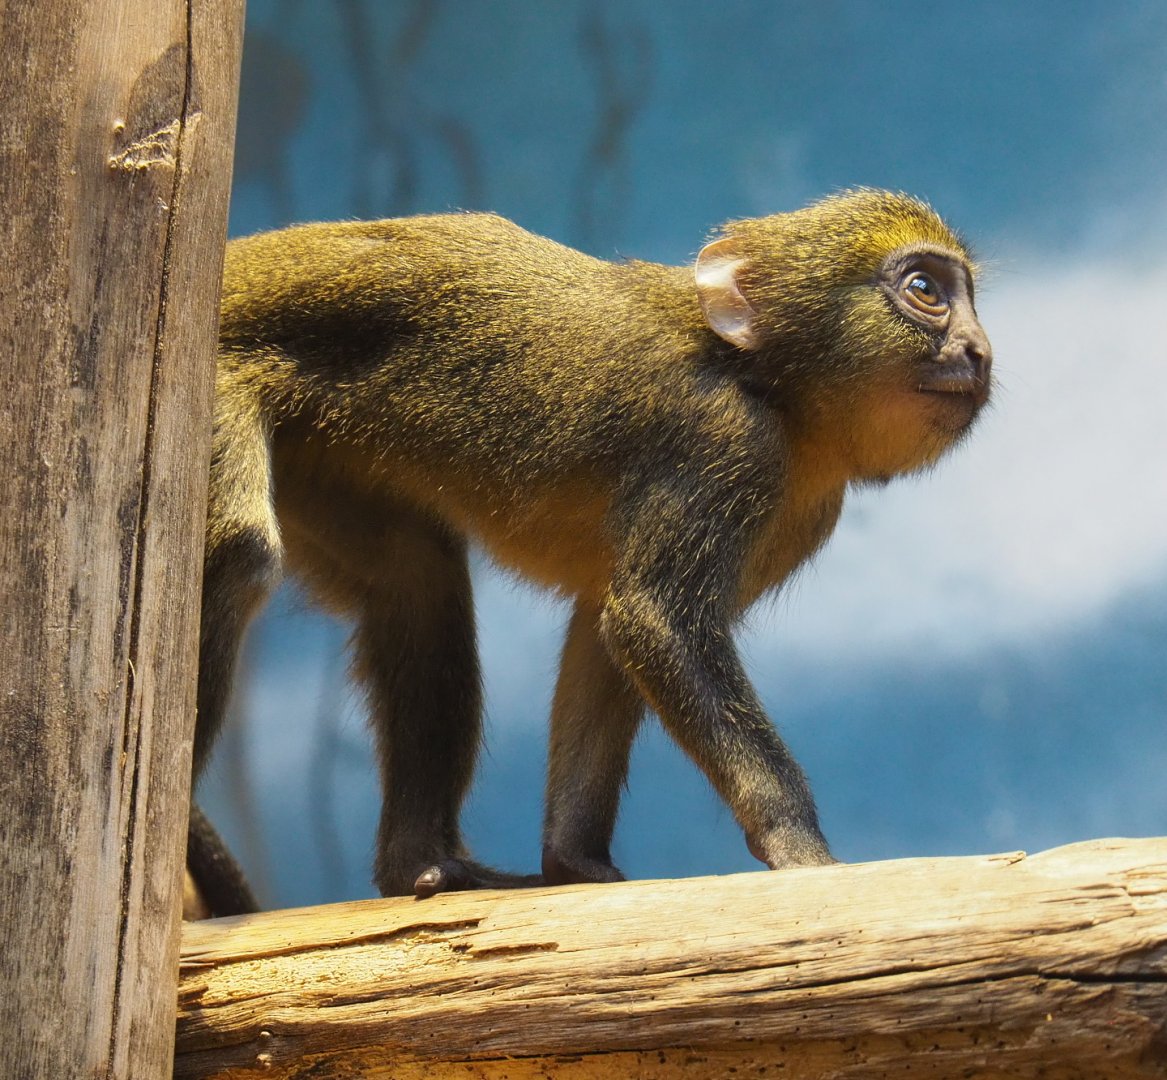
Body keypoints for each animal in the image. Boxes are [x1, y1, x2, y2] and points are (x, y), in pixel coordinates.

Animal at [193, 188, 991, 902]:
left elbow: (605, 633)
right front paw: (802, 848)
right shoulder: (725, 443)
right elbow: (654, 620)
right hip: (226, 372)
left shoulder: (799, 512)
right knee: (240, 553)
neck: (764, 382)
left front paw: (573, 859)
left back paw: (419, 865)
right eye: (924, 289)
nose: (977, 350)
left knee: (415, 582)